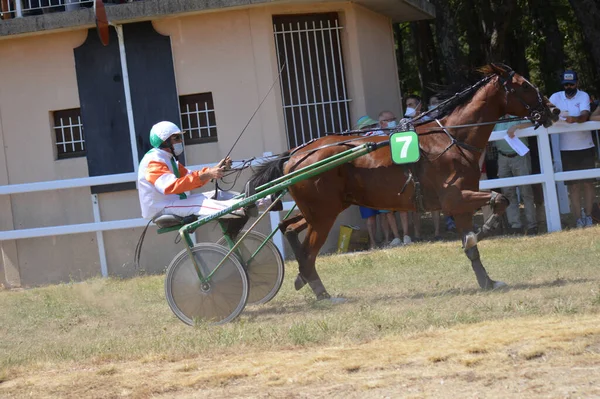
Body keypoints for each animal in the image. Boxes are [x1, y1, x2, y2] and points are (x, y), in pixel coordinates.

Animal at [248, 63, 556, 300]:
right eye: (524, 85)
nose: (553, 110)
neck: (453, 139)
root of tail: (296, 155)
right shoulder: (455, 199)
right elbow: (500, 199)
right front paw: (485, 230)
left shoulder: (460, 205)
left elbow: (474, 244)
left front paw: (487, 281)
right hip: (323, 215)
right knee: (309, 252)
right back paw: (322, 293)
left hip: (322, 210)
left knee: (290, 228)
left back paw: (303, 278)